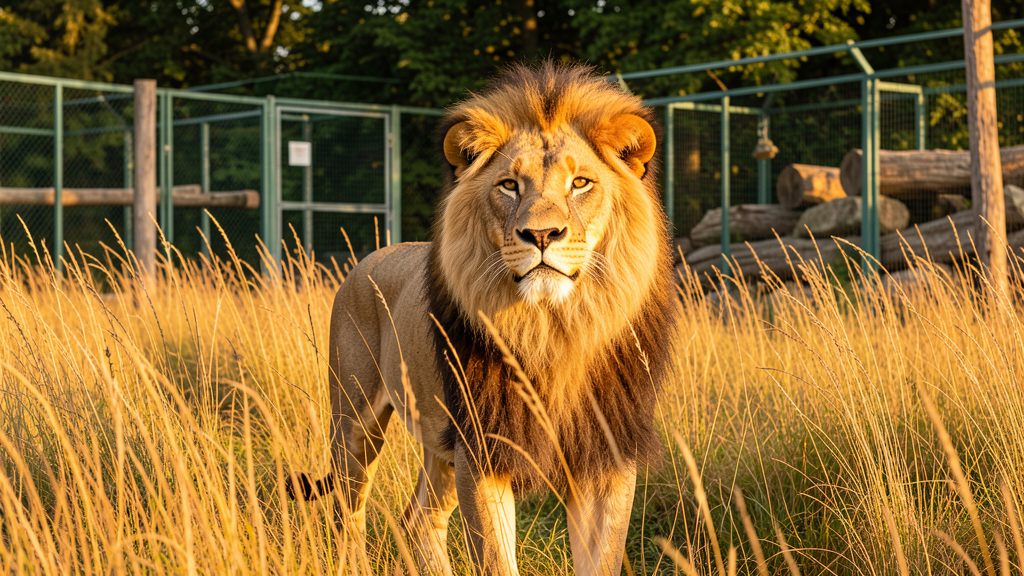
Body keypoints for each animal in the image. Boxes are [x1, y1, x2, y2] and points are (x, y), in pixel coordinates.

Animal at [289, 63, 678, 576]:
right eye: (509, 185)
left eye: (581, 183)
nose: (542, 235)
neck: (552, 331)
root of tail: (371, 256)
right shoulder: (482, 451)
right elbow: (496, 560)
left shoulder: (605, 456)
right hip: (354, 422)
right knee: (347, 514)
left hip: (440, 448)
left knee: (418, 519)